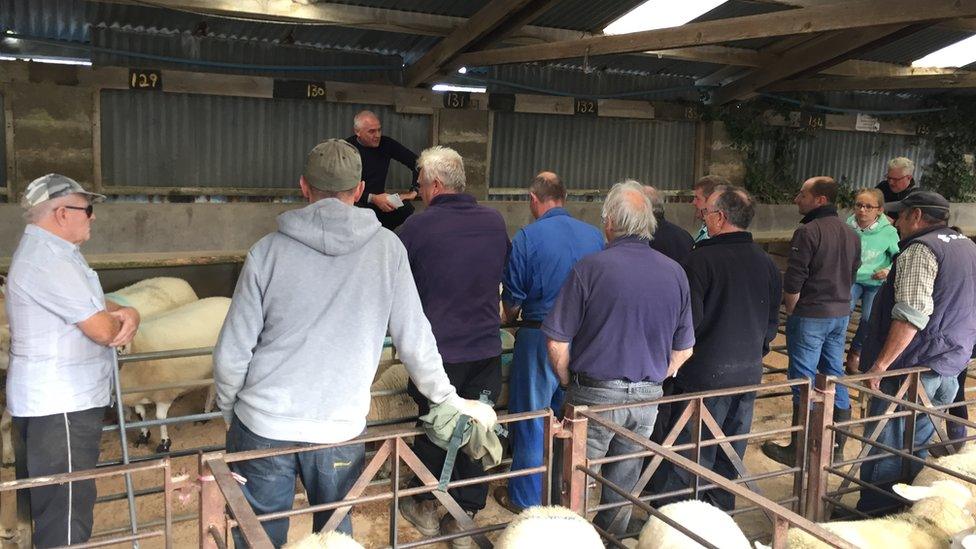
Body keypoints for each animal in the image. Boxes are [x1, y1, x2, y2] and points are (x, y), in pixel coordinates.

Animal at [120, 298, 229, 452]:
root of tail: (228, 300)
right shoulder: (136, 395)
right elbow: (140, 415)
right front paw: (143, 436)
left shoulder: (165, 393)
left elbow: (160, 419)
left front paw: (164, 444)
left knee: (212, 391)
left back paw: (206, 414)